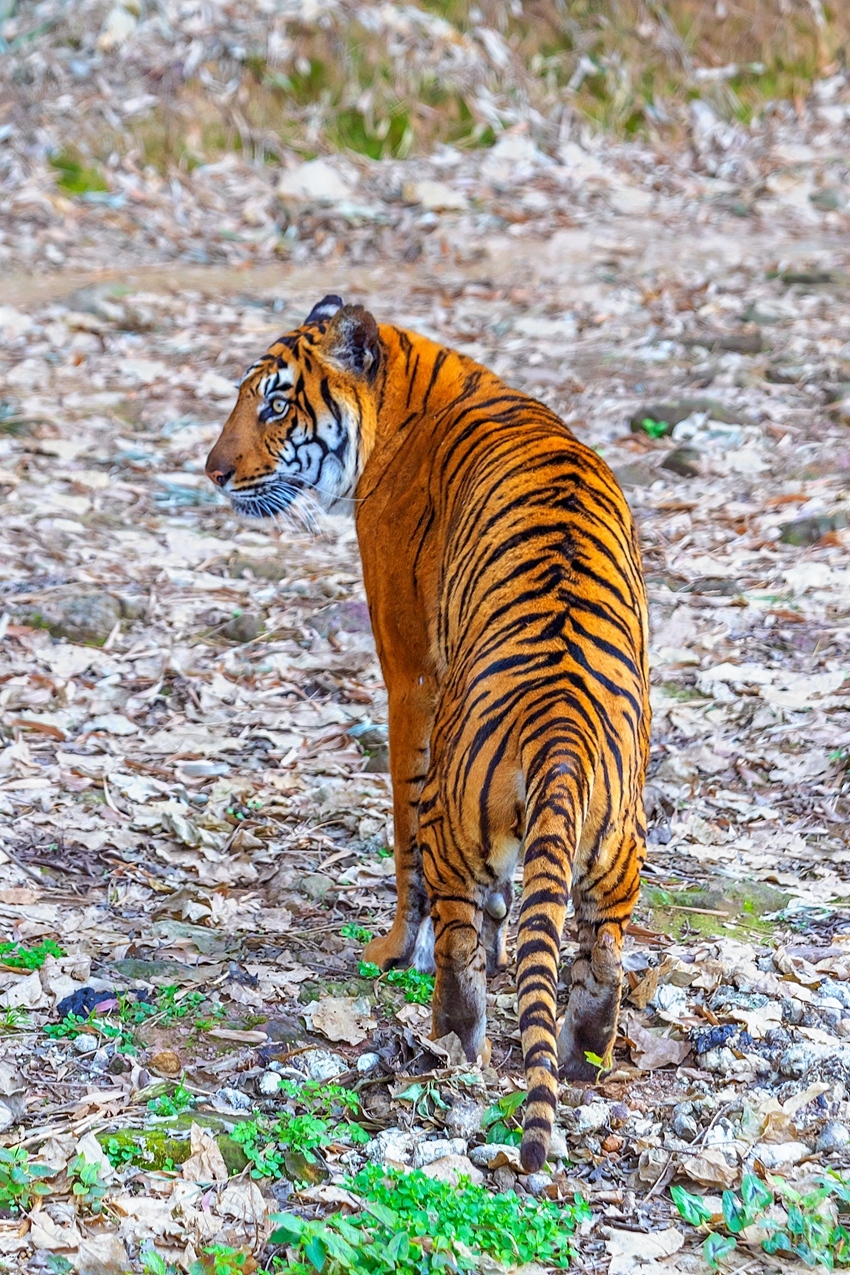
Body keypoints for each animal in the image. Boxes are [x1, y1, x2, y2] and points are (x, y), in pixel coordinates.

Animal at [206, 293, 652, 1167]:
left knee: (457, 943)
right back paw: (585, 1057)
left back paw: (446, 1038)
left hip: (461, 817)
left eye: (273, 404)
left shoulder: (408, 667)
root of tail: (561, 741)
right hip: (618, 849)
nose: (214, 471)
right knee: (601, 957)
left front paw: (390, 950)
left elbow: (402, 824)